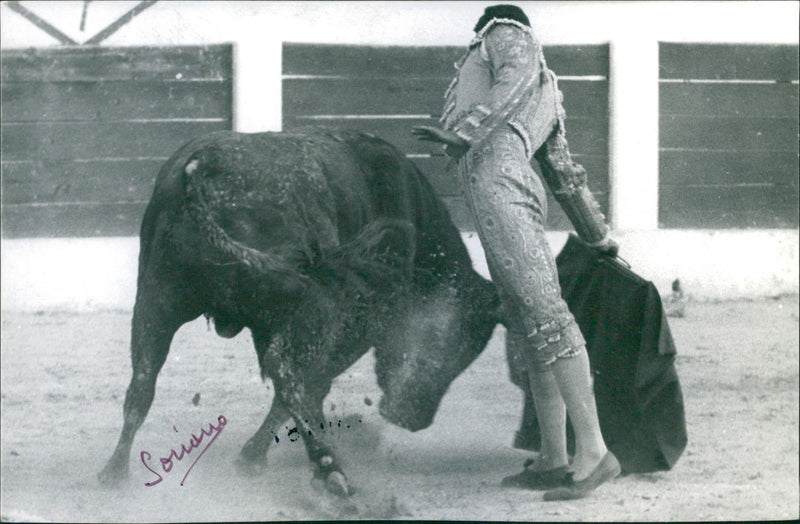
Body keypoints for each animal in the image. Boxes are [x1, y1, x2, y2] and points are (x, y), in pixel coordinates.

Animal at [98, 127, 500, 496]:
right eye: (453, 345)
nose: (411, 418)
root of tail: (205, 169)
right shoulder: (353, 322)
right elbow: (310, 383)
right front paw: (255, 456)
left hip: (157, 298)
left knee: (143, 380)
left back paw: (114, 471)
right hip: (305, 308)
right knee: (288, 374)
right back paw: (328, 466)